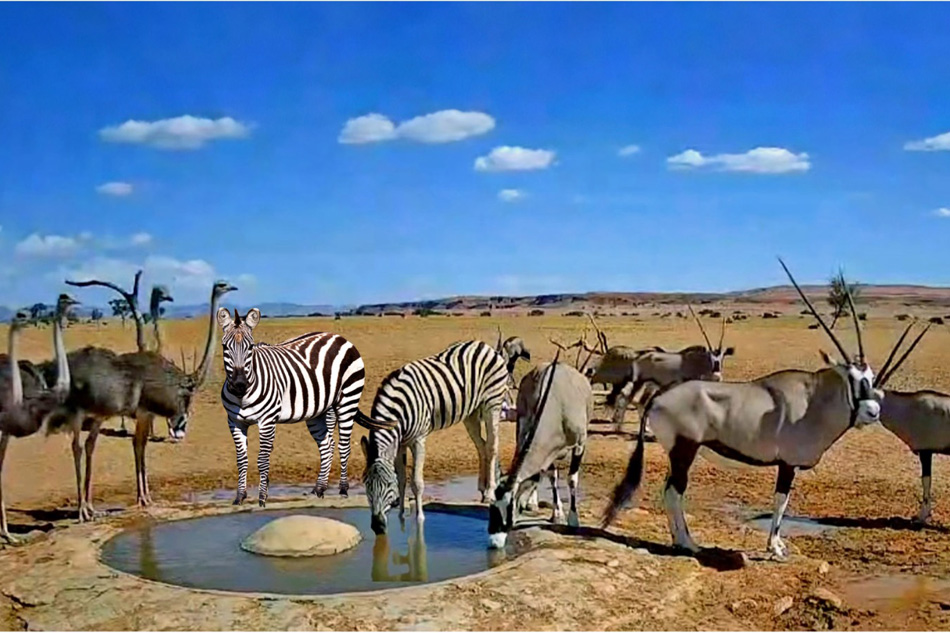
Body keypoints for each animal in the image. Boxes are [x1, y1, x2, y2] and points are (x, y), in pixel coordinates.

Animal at [219, 308, 398, 506]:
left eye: (250, 347)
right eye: (225, 347)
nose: (239, 384)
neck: (243, 397)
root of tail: (338, 336)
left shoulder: (267, 421)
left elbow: (263, 460)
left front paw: (262, 498)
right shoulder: (234, 422)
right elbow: (241, 460)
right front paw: (239, 497)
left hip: (348, 400)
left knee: (343, 446)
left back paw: (343, 489)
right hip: (318, 412)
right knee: (327, 446)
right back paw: (319, 488)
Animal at [360, 336, 532, 532]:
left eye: (387, 485)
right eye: (366, 484)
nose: (378, 526)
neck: (399, 413)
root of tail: (485, 346)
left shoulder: (418, 440)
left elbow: (416, 482)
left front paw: (419, 518)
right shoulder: (399, 443)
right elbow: (402, 478)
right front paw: (402, 515)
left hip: (492, 404)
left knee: (491, 446)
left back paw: (490, 492)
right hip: (471, 412)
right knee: (481, 446)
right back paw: (482, 488)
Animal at [608, 260, 924, 560]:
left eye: (871, 378)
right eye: (853, 379)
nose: (873, 411)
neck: (814, 401)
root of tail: (660, 396)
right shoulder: (787, 464)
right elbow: (780, 501)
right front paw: (776, 547)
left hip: (679, 453)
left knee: (669, 490)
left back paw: (681, 540)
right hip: (684, 449)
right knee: (674, 492)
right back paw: (688, 544)